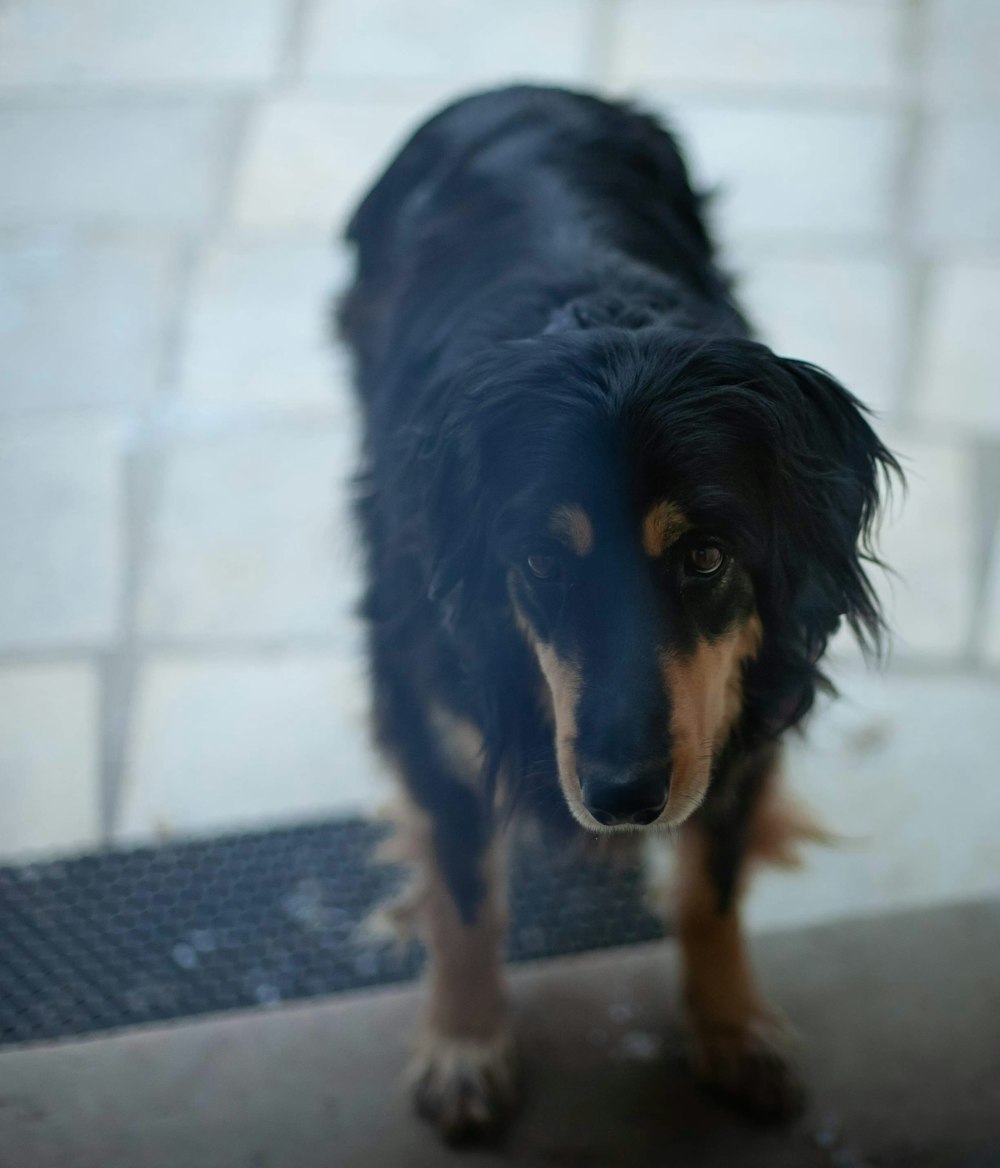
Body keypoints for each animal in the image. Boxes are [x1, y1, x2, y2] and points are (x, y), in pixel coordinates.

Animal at [338, 84, 897, 1139]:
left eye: (706, 556)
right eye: (538, 564)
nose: (622, 798)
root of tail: (521, 85)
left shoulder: (743, 709)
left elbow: (711, 889)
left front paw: (731, 1028)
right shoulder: (431, 709)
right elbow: (464, 891)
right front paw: (466, 1043)